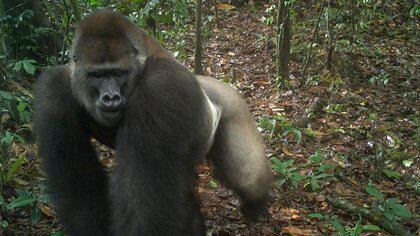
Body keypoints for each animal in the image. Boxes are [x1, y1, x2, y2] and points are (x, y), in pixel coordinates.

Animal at [35, 9, 272, 236]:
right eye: (96, 75)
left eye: (119, 73)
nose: (110, 98)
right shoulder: (54, 89)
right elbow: (77, 184)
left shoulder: (161, 88)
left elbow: (145, 202)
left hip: (234, 106)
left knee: (247, 178)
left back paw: (256, 204)